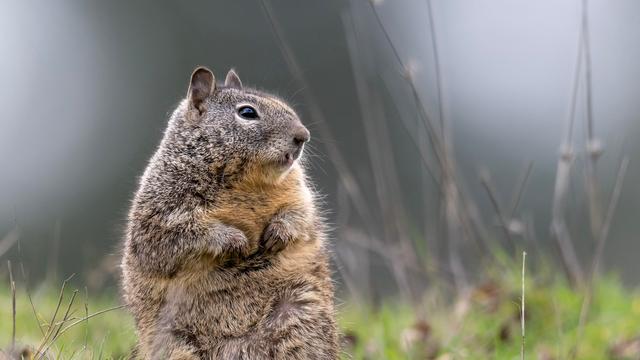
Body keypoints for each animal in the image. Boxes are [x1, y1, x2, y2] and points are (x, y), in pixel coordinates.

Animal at [121, 67, 340, 358]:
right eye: (247, 112)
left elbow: (300, 216)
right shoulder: (161, 213)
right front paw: (235, 241)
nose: (303, 136)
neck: (248, 182)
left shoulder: (299, 194)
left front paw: (277, 233)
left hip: (300, 310)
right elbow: (177, 238)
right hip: (176, 344)